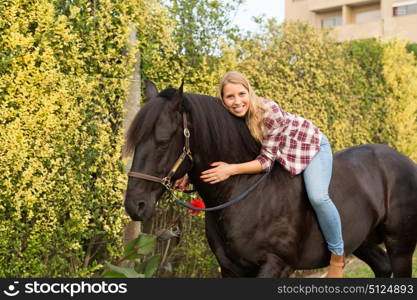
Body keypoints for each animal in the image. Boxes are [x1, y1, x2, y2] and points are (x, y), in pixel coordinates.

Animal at [125, 81, 416, 276]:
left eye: (163, 142)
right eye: (135, 141)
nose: (134, 205)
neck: (242, 192)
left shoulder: (276, 264)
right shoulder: (230, 268)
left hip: (401, 246)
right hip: (364, 241)